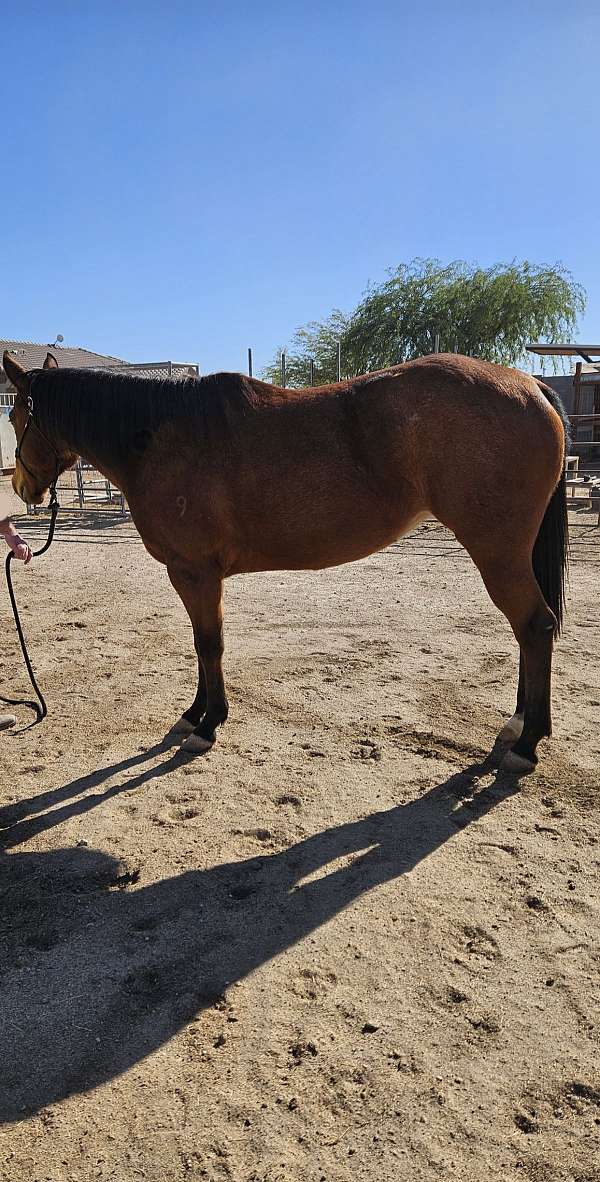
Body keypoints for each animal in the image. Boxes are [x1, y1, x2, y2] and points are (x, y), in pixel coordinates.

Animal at [3, 349, 566, 775]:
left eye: (13, 415)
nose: (22, 488)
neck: (161, 439)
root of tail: (530, 386)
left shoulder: (194, 573)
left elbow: (209, 645)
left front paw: (208, 724)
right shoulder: (193, 576)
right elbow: (201, 646)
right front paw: (194, 714)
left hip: (497, 551)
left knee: (535, 626)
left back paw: (526, 744)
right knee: (529, 630)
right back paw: (518, 725)